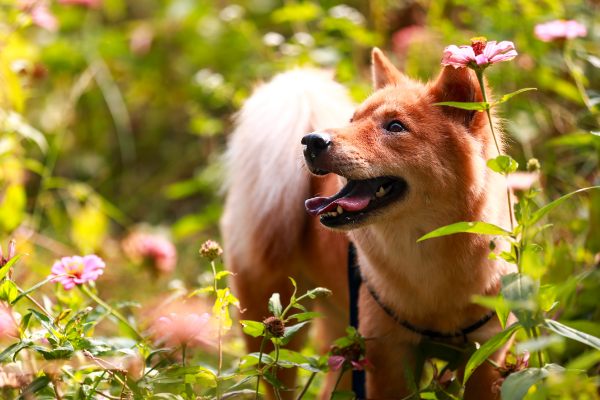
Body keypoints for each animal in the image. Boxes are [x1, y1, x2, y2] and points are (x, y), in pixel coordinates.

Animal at [220, 48, 516, 398]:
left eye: (396, 126)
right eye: (353, 120)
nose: (312, 141)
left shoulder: (486, 357)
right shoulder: (386, 359)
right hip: (272, 336)